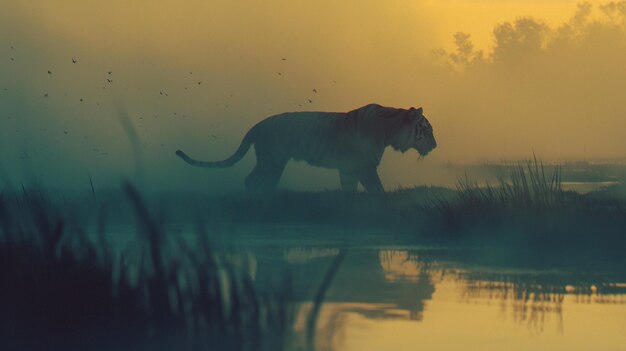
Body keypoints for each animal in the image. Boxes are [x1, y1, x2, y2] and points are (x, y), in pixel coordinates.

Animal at [177, 103, 434, 194]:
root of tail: (258, 124)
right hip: (272, 159)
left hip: (274, 162)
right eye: (428, 130)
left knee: (261, 181)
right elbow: (377, 189)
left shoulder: (349, 168)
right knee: (252, 180)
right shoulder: (365, 166)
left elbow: (349, 190)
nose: (435, 145)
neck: (390, 130)